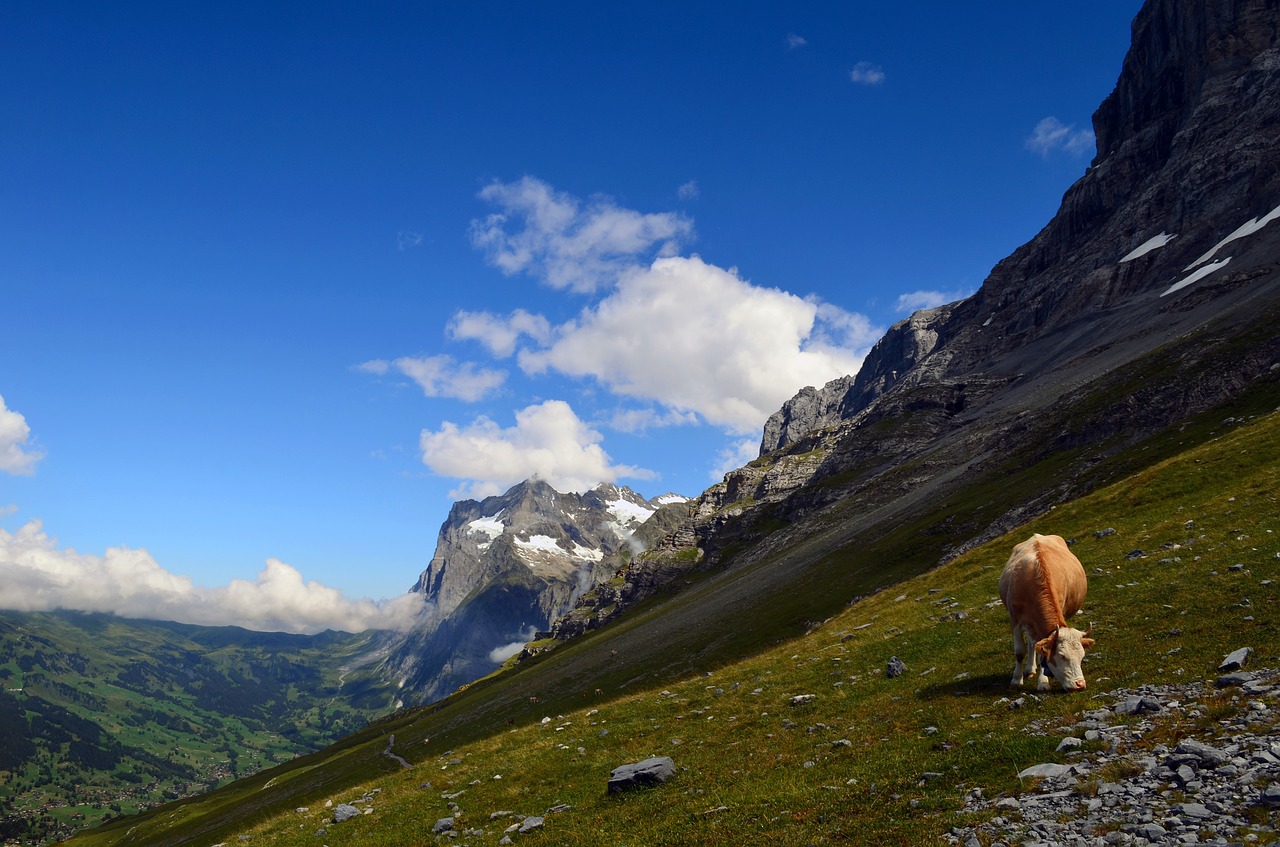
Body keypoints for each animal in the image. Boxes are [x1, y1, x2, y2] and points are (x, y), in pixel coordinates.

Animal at [993, 534, 1095, 696]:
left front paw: (1043, 682)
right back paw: (1029, 669)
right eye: (1062, 656)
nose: (1080, 685)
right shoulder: (1015, 619)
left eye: (1082, 656)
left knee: (1033, 643)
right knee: (1031, 642)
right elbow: (1019, 652)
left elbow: (1042, 651)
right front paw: (1016, 680)